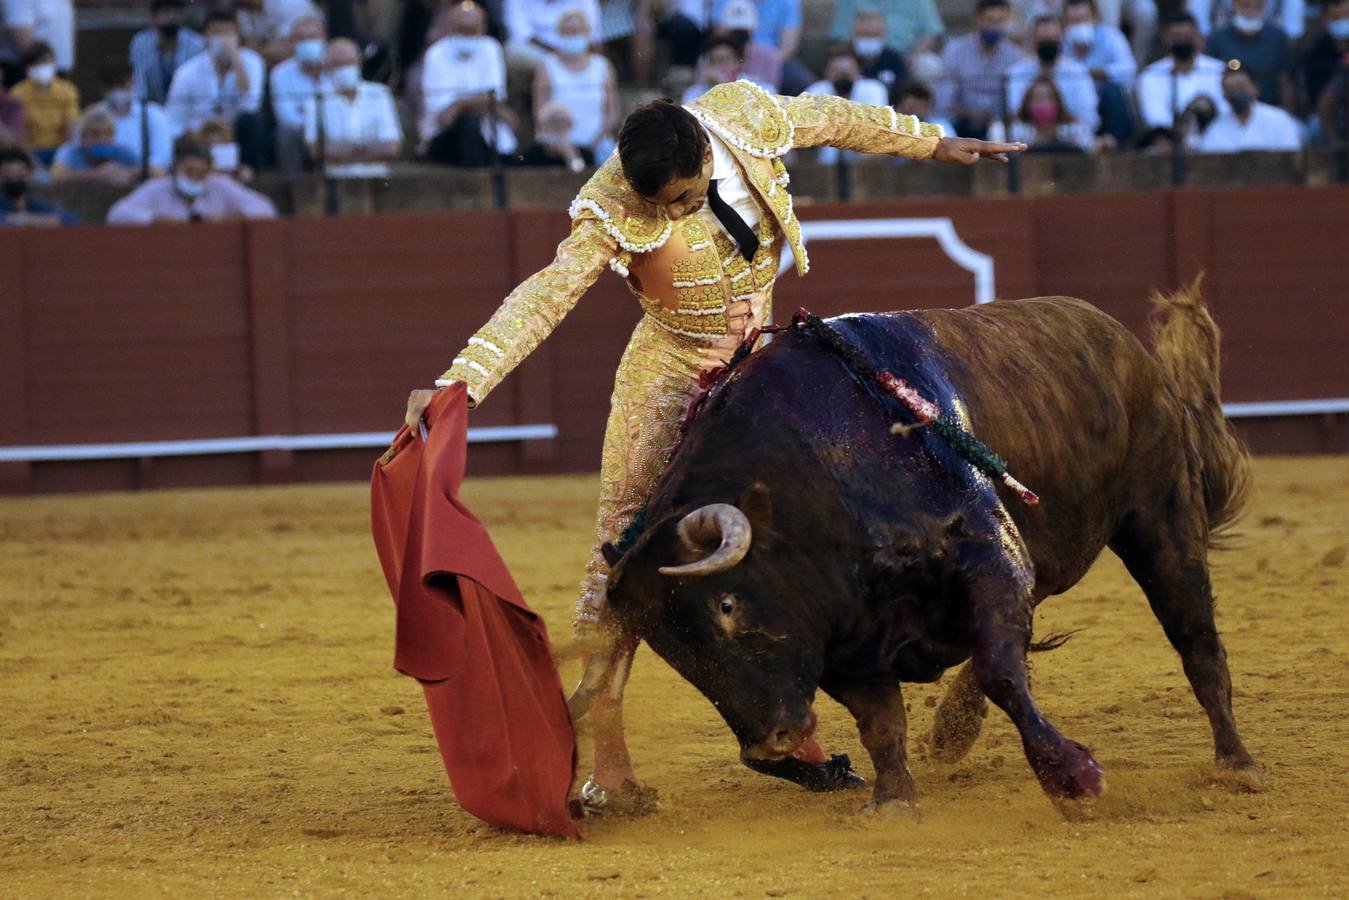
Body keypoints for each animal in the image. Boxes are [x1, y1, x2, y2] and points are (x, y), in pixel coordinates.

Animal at [574, 284, 1257, 814]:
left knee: (1194, 636)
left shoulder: (988, 557)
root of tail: (1128, 347)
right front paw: (894, 801)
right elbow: (882, 722)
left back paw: (1236, 762)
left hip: (1160, 517)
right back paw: (952, 732)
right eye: (673, 654)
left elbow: (1001, 670)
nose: (770, 743)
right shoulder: (844, 640)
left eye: (726, 607)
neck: (811, 480)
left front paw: (1073, 779)